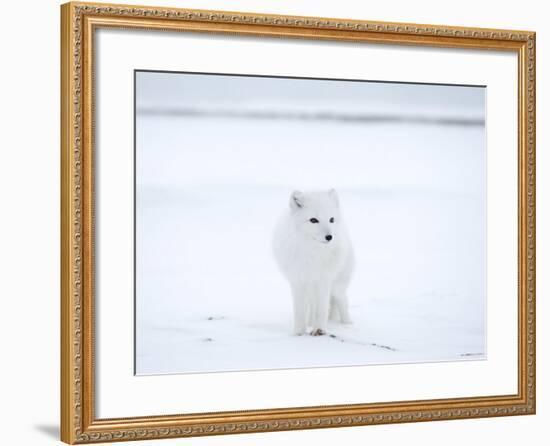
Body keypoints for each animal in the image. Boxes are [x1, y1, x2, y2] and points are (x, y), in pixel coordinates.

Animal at [274, 190, 356, 336]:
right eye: (313, 220)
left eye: (331, 219)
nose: (329, 237)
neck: (312, 252)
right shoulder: (297, 281)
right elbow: (300, 311)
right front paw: (298, 332)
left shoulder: (324, 280)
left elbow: (322, 309)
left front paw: (320, 329)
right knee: (312, 307)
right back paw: (310, 323)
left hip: (337, 286)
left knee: (343, 300)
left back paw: (347, 325)